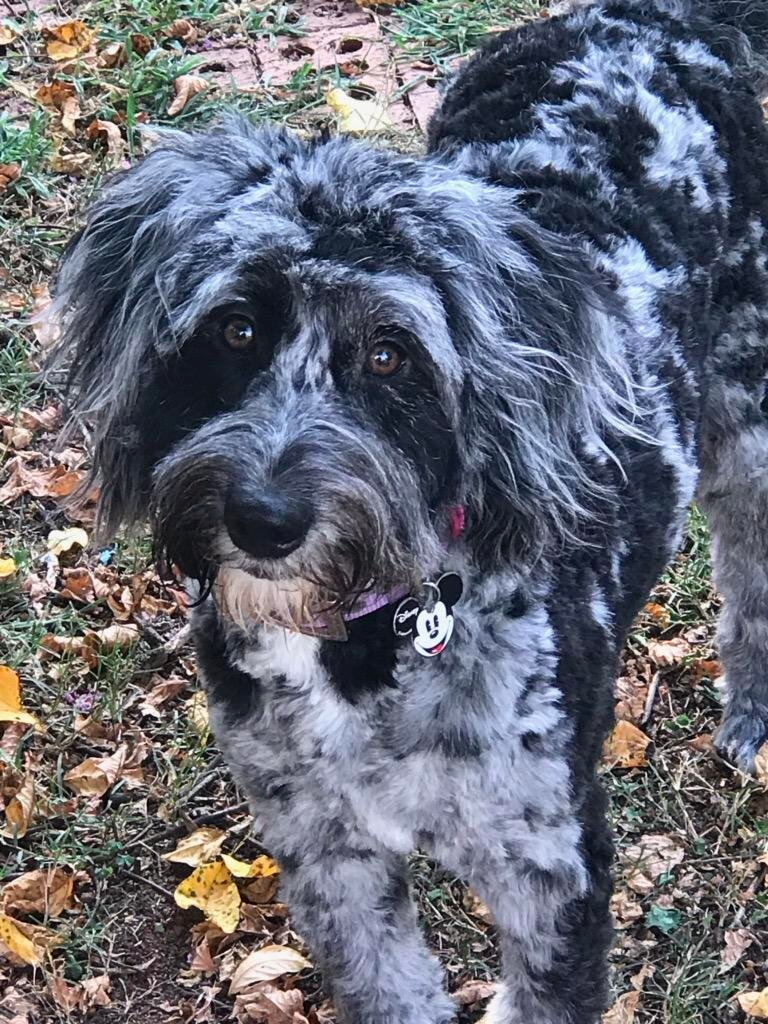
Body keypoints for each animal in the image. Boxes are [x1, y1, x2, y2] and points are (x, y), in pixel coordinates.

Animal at [51, 2, 768, 1015]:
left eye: (391, 355)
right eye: (235, 328)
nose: (263, 519)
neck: (360, 638)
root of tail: (646, 19)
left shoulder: (551, 867)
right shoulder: (327, 855)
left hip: (746, 423)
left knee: (752, 573)